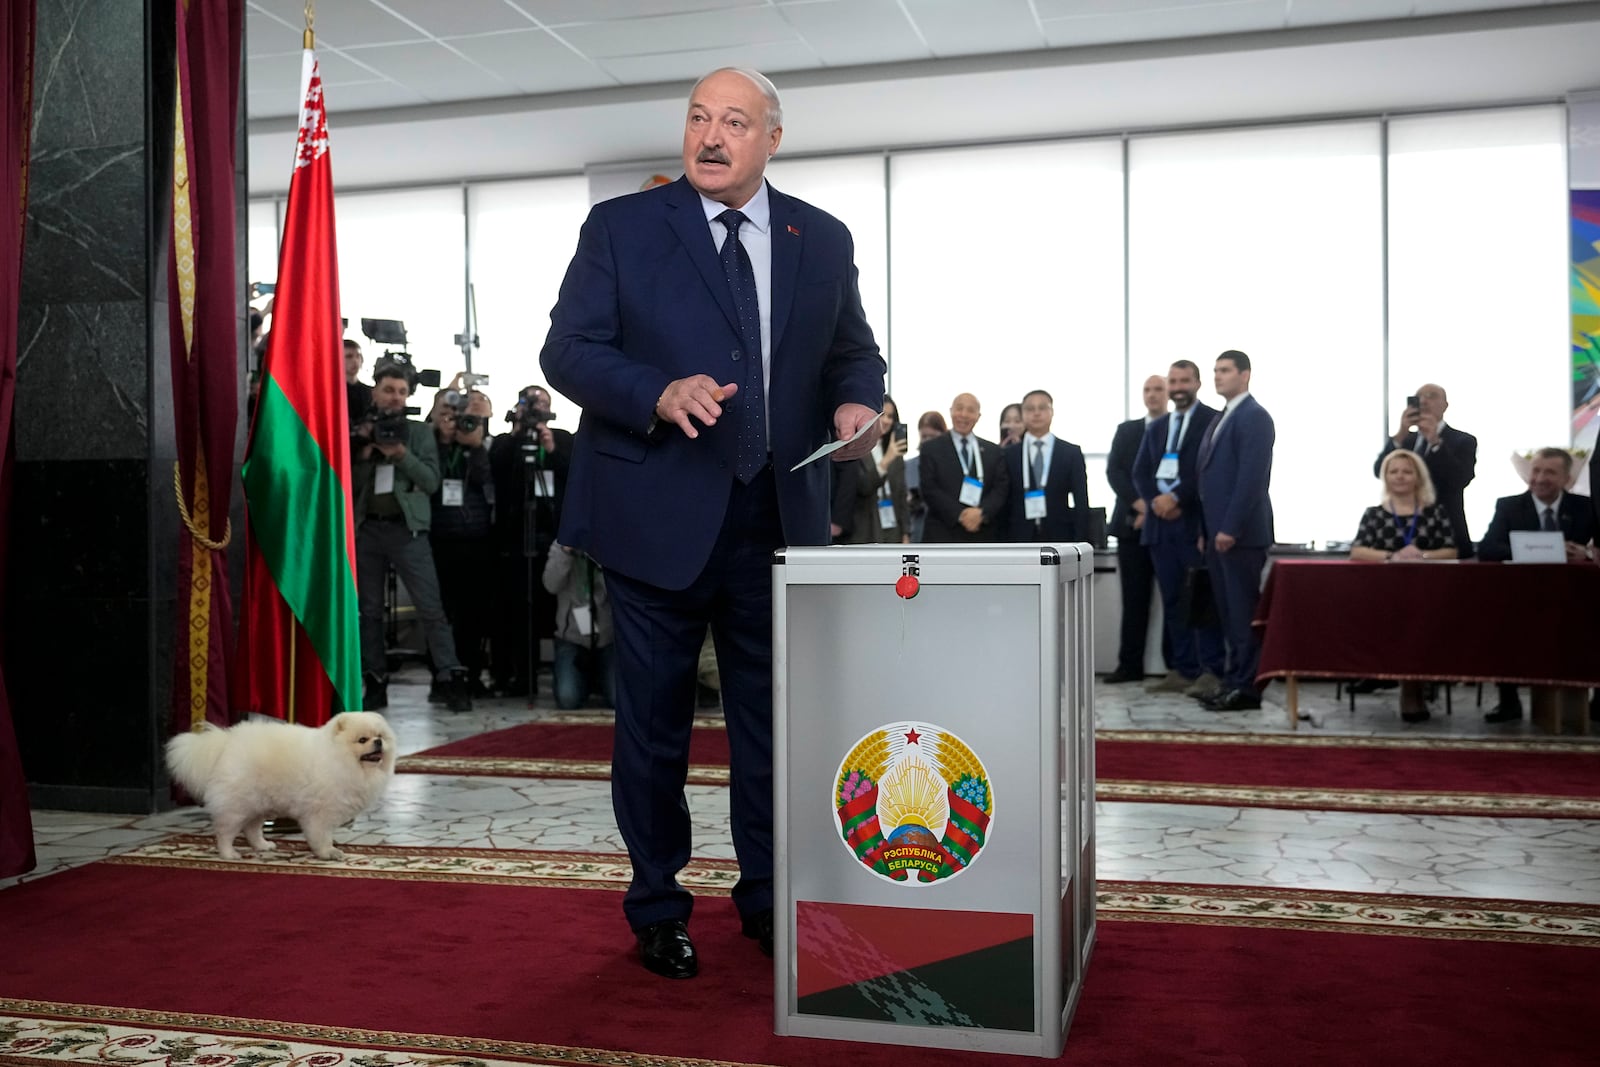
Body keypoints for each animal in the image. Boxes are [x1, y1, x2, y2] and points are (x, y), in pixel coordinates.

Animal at [164, 713, 396, 863]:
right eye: (362, 740)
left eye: (380, 736)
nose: (378, 742)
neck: (339, 759)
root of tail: (226, 744)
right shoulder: (318, 813)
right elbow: (321, 836)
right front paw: (329, 852)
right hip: (237, 806)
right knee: (225, 832)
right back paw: (229, 854)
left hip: (257, 804)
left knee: (252, 829)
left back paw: (263, 845)